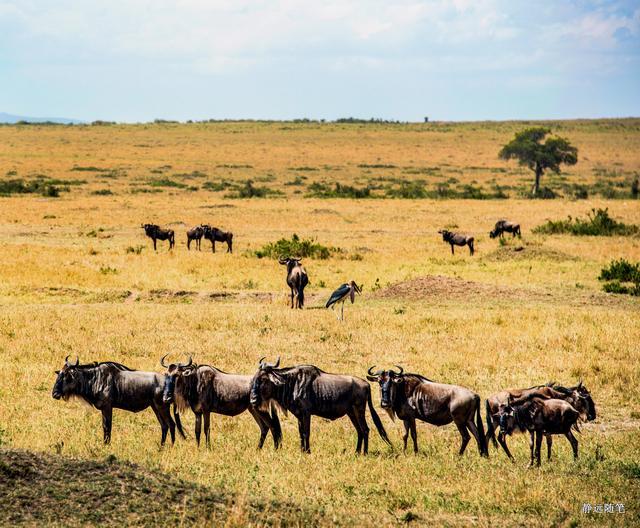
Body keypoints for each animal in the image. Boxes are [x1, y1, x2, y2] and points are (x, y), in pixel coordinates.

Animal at [52, 354, 185, 446]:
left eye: (67, 376)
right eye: (59, 374)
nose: (54, 394)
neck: (95, 378)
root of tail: (170, 384)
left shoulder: (107, 407)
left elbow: (107, 427)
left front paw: (106, 445)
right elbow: (105, 426)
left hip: (162, 406)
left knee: (171, 424)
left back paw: (171, 446)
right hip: (155, 407)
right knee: (164, 425)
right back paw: (161, 447)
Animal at [249, 356, 390, 452]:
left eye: (263, 379)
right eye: (255, 378)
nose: (253, 400)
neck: (292, 383)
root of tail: (366, 384)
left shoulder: (306, 413)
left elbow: (306, 432)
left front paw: (307, 451)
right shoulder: (299, 415)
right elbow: (301, 433)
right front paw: (302, 451)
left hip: (359, 410)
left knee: (365, 429)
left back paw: (364, 453)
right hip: (351, 413)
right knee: (360, 430)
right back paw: (356, 452)